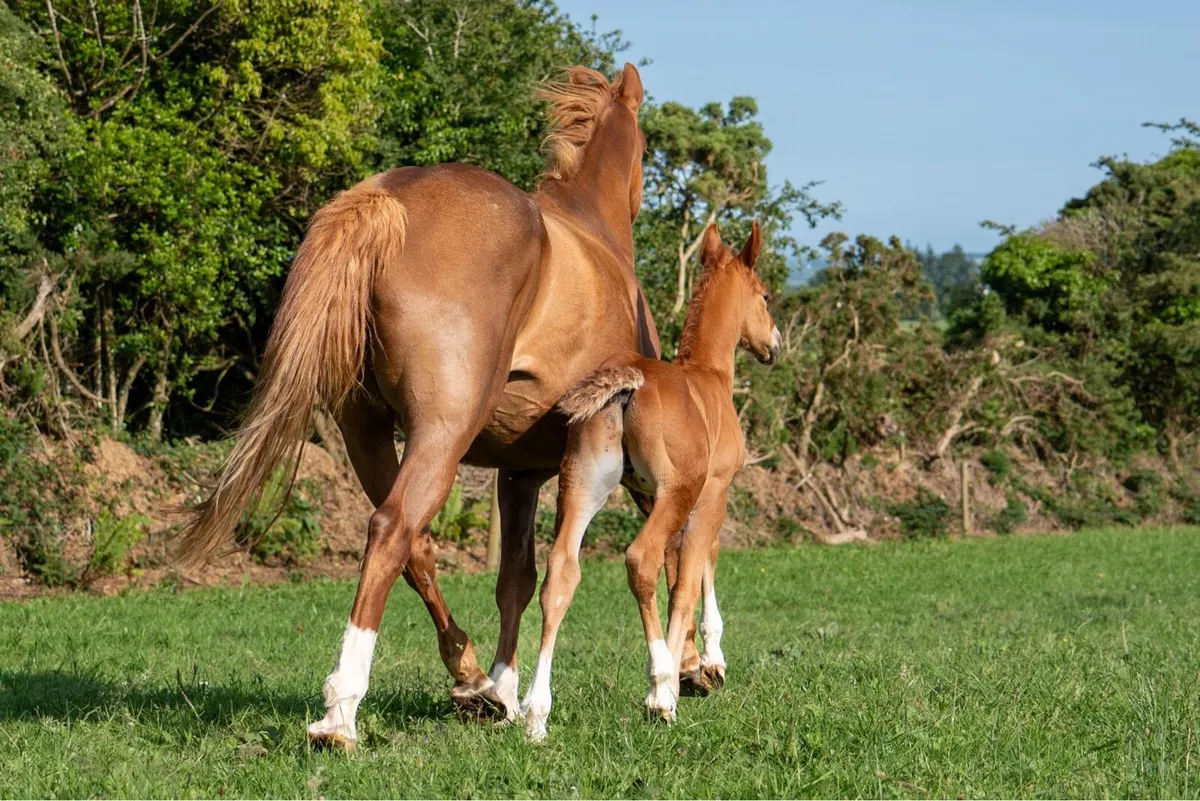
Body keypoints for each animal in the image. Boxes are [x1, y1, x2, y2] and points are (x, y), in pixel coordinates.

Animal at [175, 63, 660, 751]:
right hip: (441, 436)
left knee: (412, 544)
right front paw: (686, 674)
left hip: (369, 435)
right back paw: (342, 711)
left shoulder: (518, 473)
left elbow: (515, 580)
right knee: (393, 530)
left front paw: (503, 689)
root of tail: (388, 199)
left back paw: (471, 681)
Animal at [519, 221, 780, 741]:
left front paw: (694, 670)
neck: (709, 376)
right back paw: (659, 690)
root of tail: (628, 383)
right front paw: (699, 671)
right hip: (676, 491)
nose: (774, 346)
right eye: (765, 296)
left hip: (582, 486)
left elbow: (678, 568)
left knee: (561, 572)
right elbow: (695, 572)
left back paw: (536, 714)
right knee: (639, 559)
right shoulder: (711, 494)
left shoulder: (646, 497)